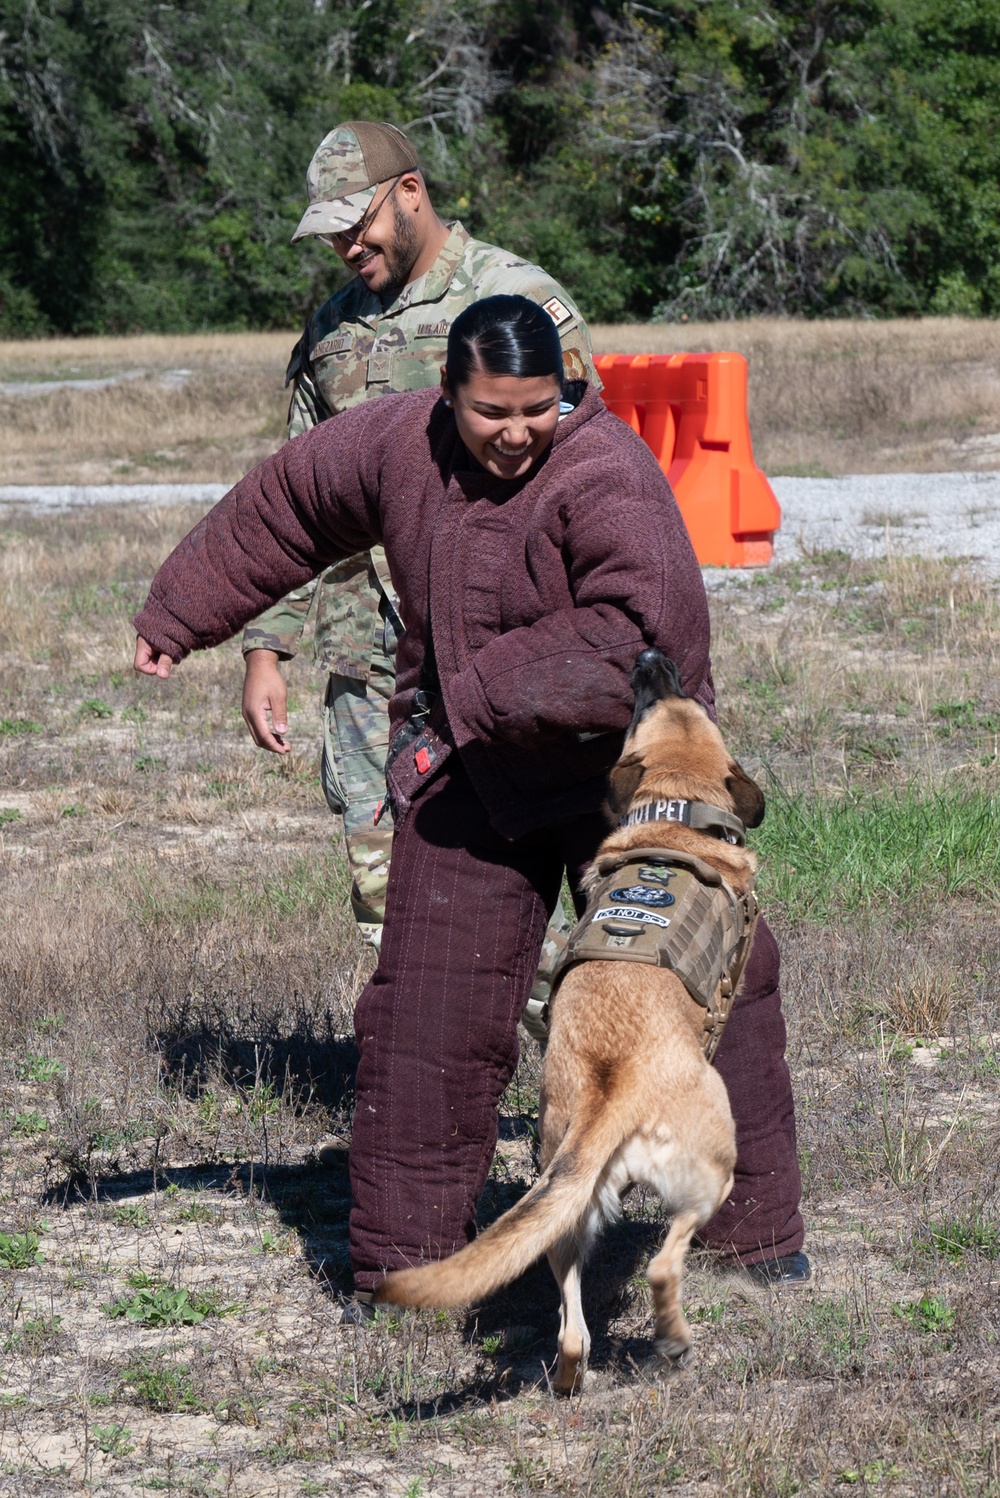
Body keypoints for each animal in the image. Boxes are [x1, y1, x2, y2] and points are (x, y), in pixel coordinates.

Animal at [377, 650, 766, 1396]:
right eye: (651, 701)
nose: (649, 656)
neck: (676, 812)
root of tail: (611, 1097)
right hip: (710, 1174)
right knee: (663, 1265)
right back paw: (674, 1342)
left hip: (564, 1220)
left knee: (572, 1327)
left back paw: (569, 1376)